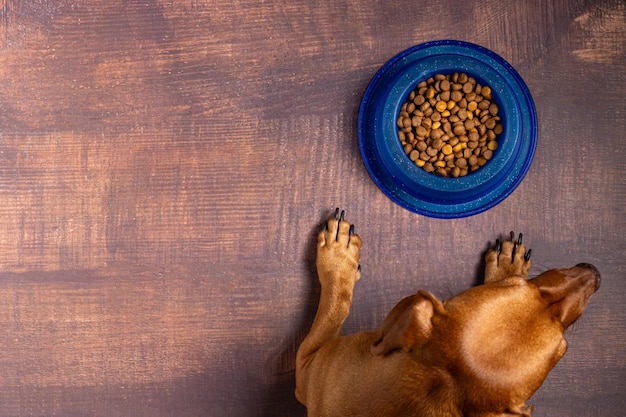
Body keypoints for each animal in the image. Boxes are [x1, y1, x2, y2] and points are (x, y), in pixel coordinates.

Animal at [294, 210, 596, 414]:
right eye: (514, 283)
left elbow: (337, 299)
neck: (437, 386)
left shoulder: (307, 366)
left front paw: (338, 256)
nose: (595, 273)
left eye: (562, 350)